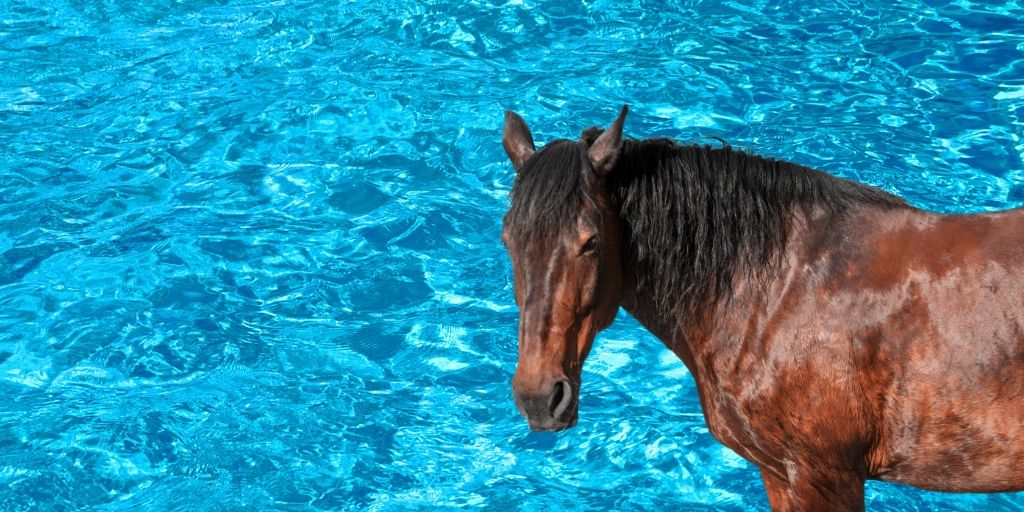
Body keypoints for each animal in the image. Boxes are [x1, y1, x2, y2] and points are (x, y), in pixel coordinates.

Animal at [499, 105, 1024, 511]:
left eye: (589, 242)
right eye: (507, 239)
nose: (538, 396)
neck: (778, 289)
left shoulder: (823, 477)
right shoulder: (781, 474)